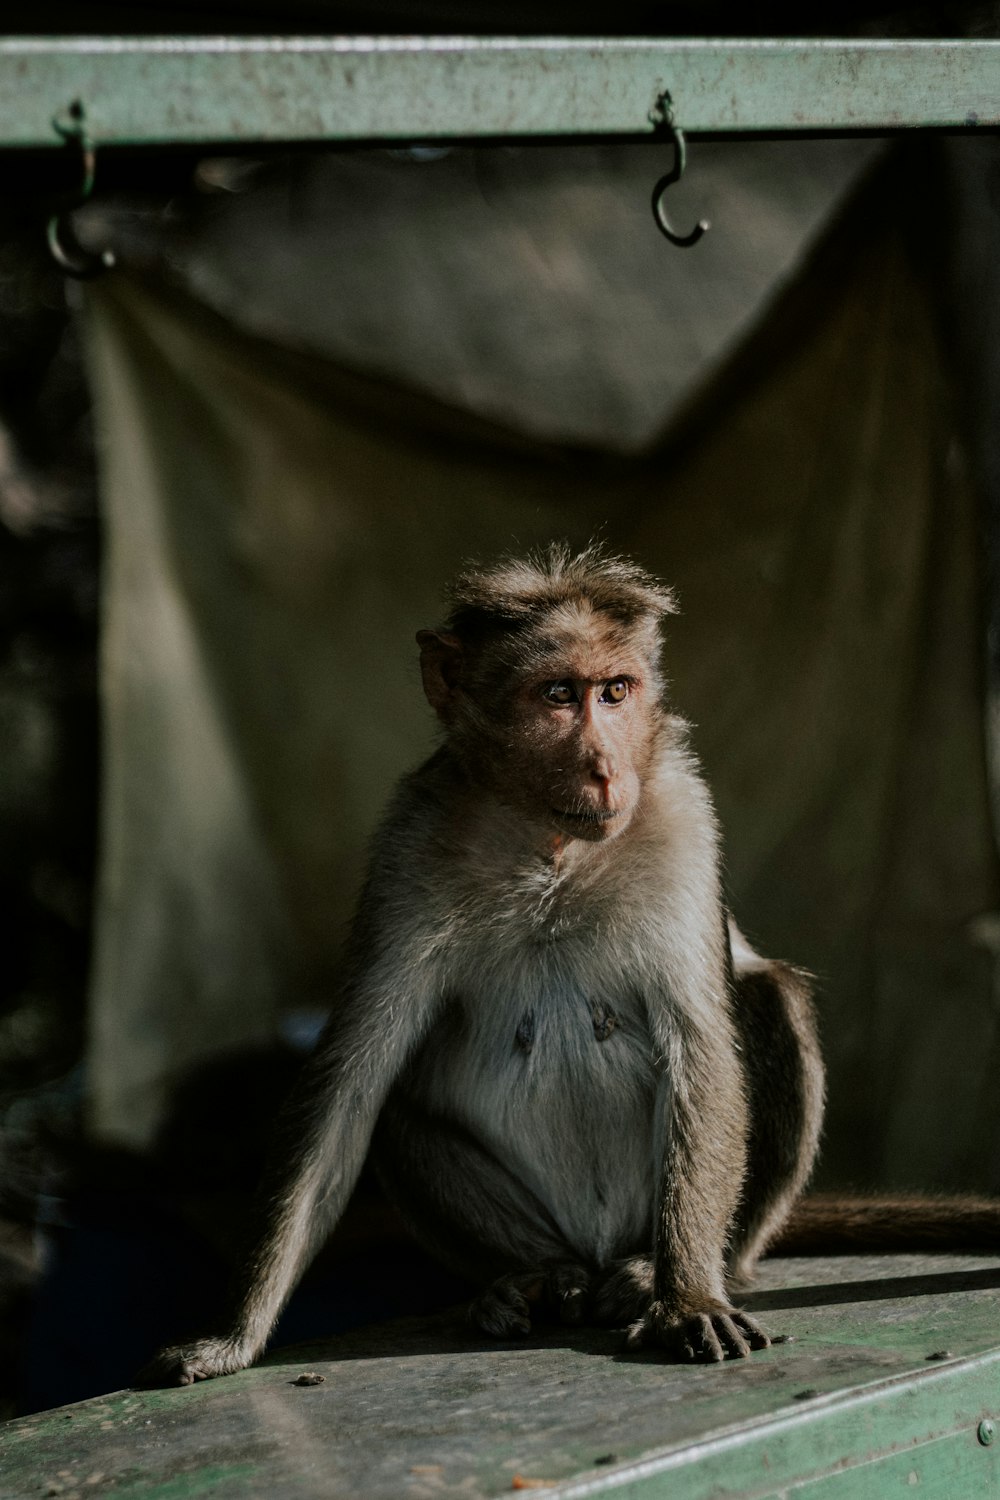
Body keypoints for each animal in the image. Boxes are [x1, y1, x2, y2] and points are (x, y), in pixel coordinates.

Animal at [144, 546, 995, 1386]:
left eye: (615, 692)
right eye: (558, 695)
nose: (604, 767)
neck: (549, 845)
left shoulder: (683, 810)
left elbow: (702, 1047)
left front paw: (687, 1297)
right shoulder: (409, 841)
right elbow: (350, 1081)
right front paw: (234, 1337)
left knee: (771, 1001)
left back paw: (655, 1272)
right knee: (395, 1105)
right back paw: (535, 1277)